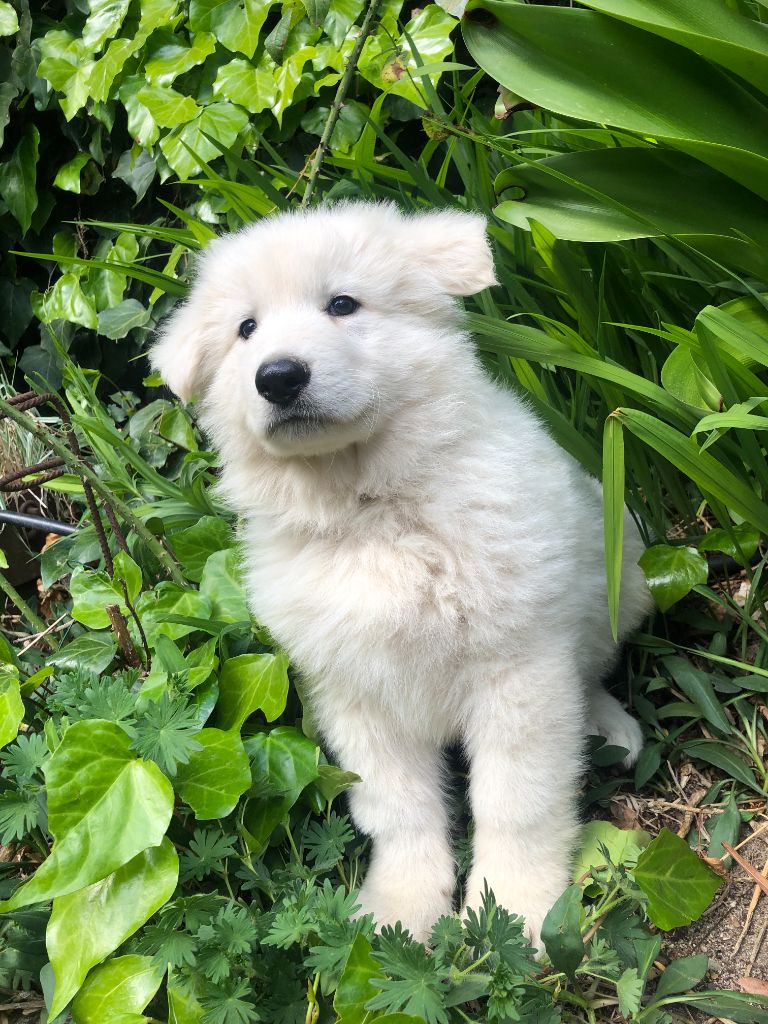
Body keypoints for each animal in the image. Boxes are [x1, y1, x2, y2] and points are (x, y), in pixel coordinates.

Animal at [151, 202, 651, 947]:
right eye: (246, 329)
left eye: (342, 304)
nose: (278, 376)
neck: (371, 510)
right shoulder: (357, 694)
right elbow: (399, 810)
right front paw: (400, 909)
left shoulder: (517, 669)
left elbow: (517, 804)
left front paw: (513, 912)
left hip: (622, 573)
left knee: (588, 671)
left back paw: (605, 724)